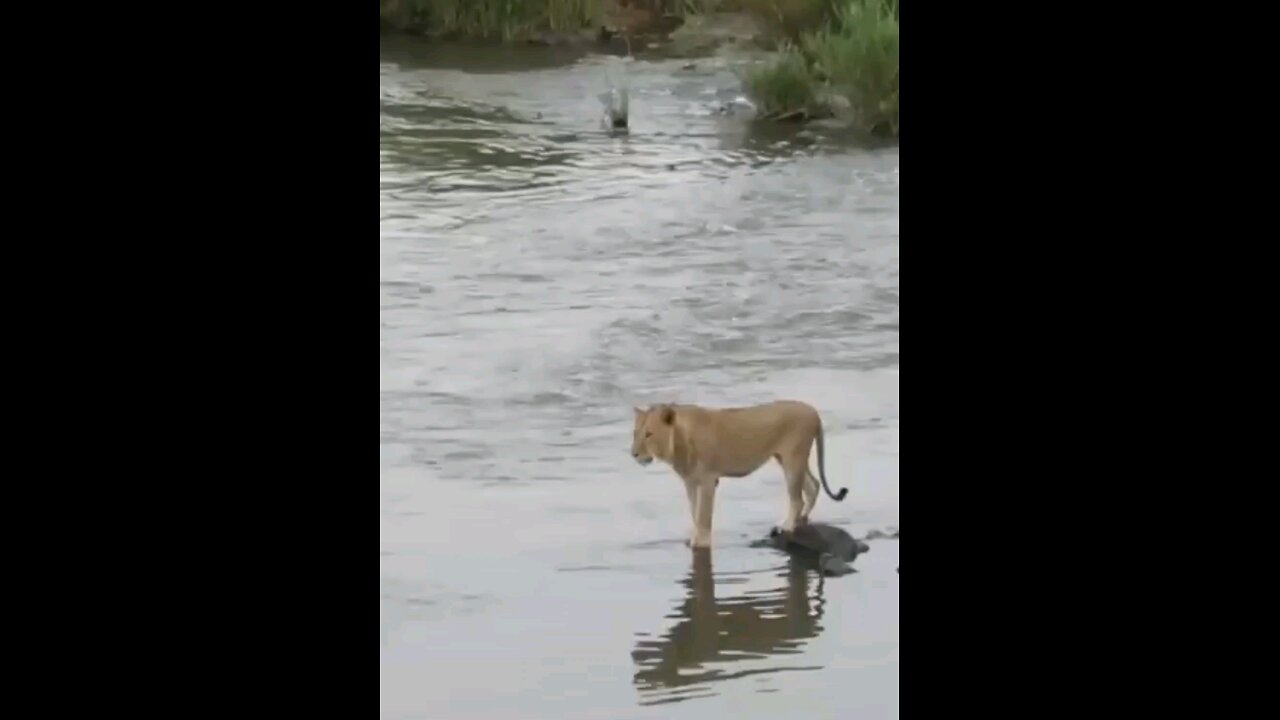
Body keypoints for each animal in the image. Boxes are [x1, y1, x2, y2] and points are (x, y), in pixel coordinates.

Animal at [627, 399, 844, 545]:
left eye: (649, 434)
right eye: (635, 433)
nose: (634, 454)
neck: (679, 442)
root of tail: (814, 411)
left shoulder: (708, 481)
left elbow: (703, 516)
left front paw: (701, 543)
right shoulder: (690, 482)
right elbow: (694, 511)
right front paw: (694, 537)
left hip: (793, 458)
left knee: (797, 498)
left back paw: (786, 526)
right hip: (788, 459)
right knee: (813, 486)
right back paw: (801, 519)